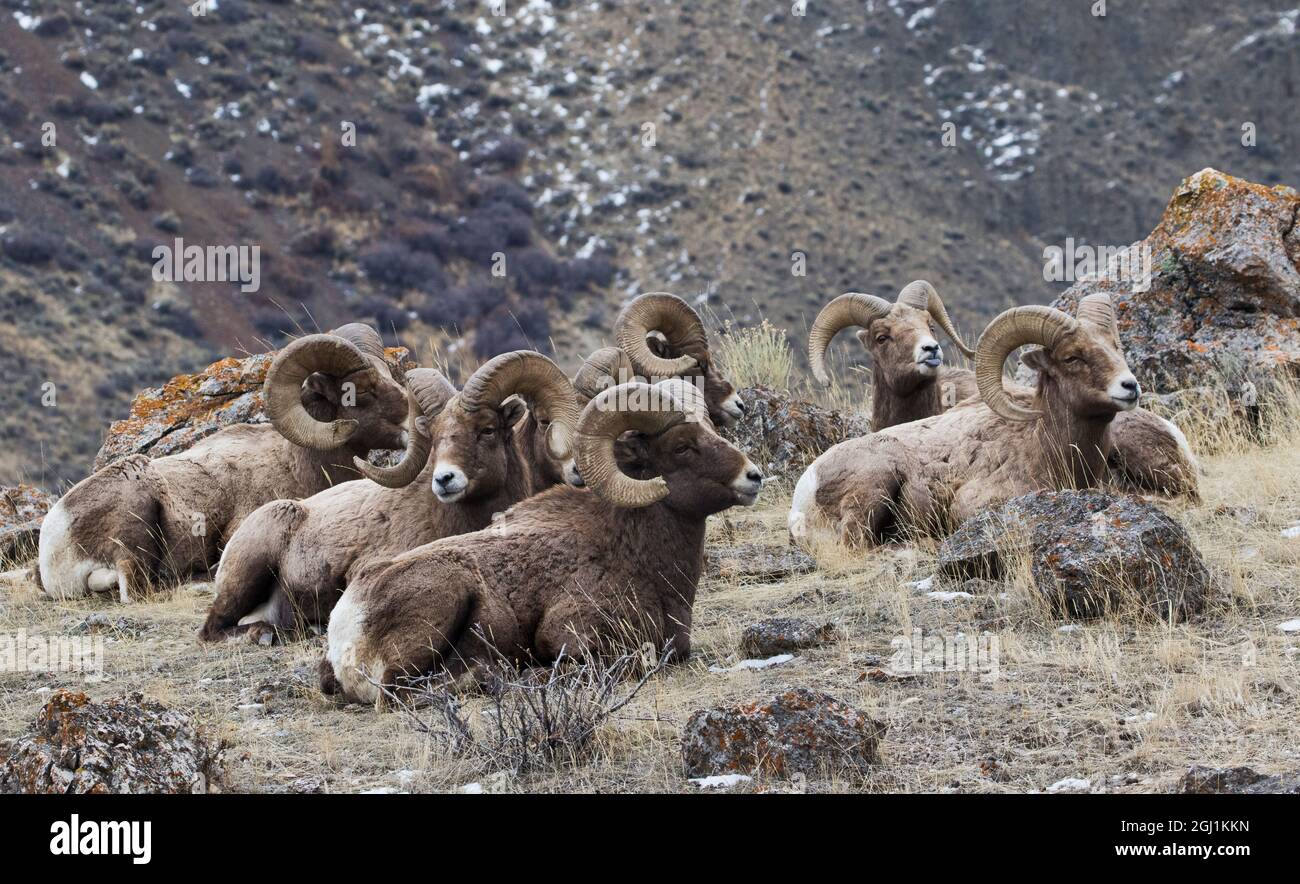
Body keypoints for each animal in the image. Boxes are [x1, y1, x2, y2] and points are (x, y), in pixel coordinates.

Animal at [320, 380, 764, 708]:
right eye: (682, 446)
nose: (753, 476)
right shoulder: (569, 634)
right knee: (398, 692)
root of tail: (345, 627)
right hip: (443, 600)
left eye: (711, 431)